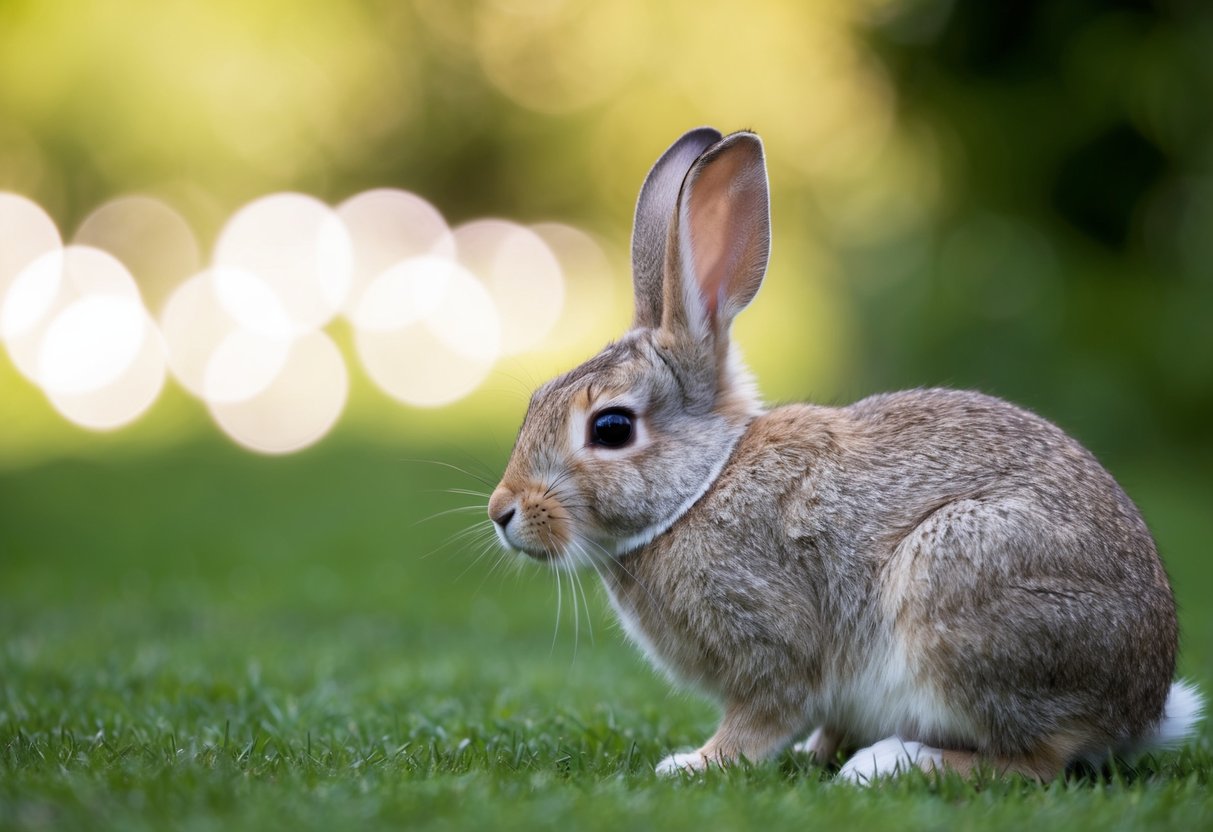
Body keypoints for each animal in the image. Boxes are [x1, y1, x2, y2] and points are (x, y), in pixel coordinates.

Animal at [486, 126, 1203, 783]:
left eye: (611, 428)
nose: (502, 512)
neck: (702, 487)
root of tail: (1140, 709)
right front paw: (807, 752)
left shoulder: (772, 644)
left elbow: (759, 719)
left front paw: (693, 763)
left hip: (959, 586)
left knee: (1034, 762)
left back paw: (889, 763)